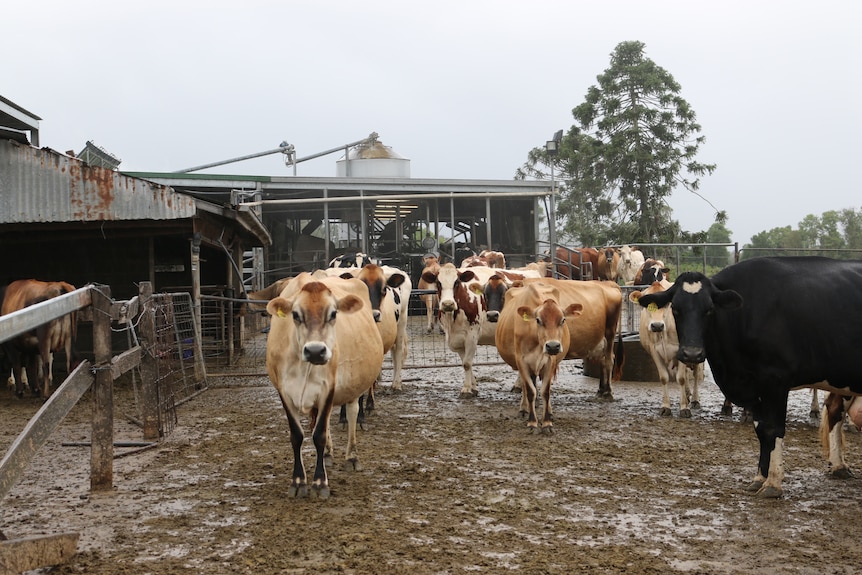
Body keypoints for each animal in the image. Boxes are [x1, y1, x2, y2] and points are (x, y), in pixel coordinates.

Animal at [264, 274, 384, 500]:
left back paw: (351, 457)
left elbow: (318, 434)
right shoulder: (283, 392)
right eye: (295, 314)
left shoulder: (329, 388)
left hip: (353, 386)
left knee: (352, 413)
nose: (315, 351)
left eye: (333, 313)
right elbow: (297, 436)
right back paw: (328, 454)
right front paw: (298, 481)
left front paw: (320, 483)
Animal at [496, 282, 584, 434]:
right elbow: (530, 391)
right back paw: (524, 409)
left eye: (563, 320)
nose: (553, 346)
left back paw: (548, 410)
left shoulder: (550, 362)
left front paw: (547, 422)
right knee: (526, 386)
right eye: (538, 320)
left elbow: (545, 392)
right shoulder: (522, 362)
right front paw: (532, 422)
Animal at [632, 280, 704, 418]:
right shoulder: (654, 351)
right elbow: (664, 377)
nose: (657, 325)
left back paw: (695, 400)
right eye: (646, 305)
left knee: (696, 374)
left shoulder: (682, 350)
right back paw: (687, 394)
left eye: (667, 304)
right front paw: (665, 407)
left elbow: (680, 378)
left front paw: (684, 408)